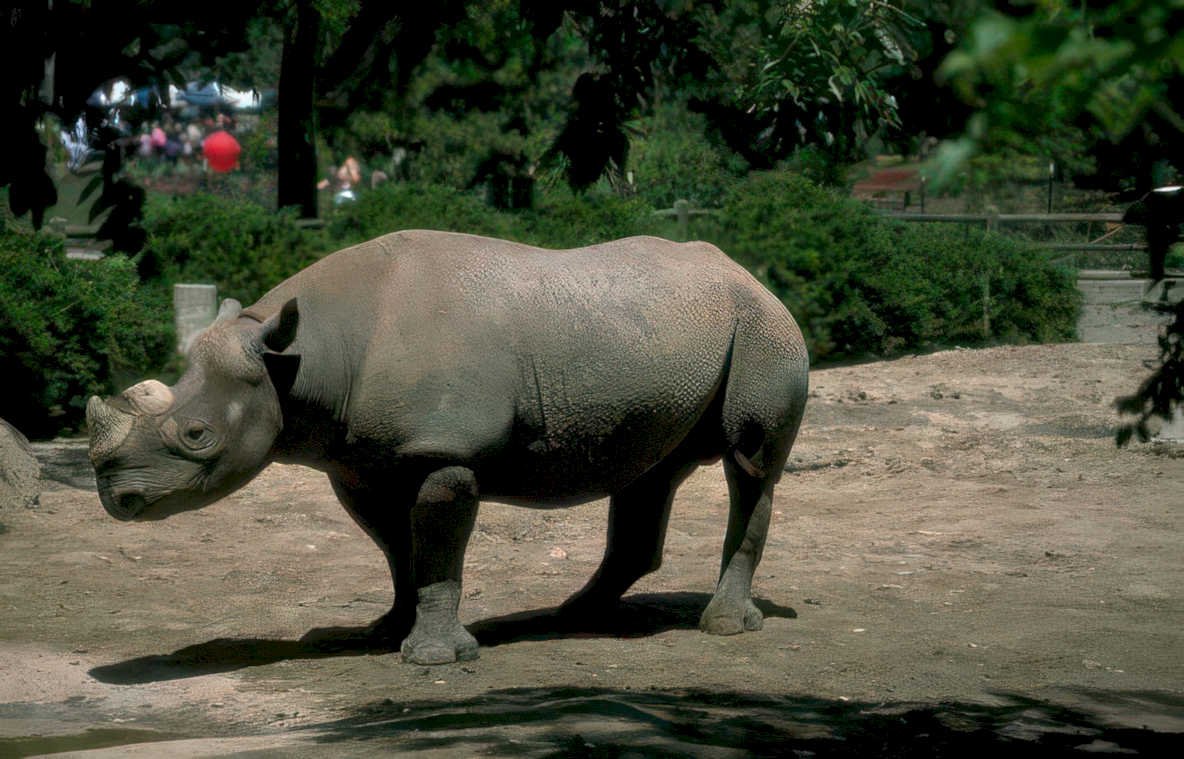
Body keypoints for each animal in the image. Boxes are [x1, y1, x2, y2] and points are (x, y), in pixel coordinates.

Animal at [87, 231, 808, 665]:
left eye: (197, 437)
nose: (115, 497)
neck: (298, 359)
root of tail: (749, 272)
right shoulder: (364, 463)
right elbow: (398, 551)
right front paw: (383, 631)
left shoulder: (444, 451)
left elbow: (436, 551)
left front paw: (432, 657)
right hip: (670, 341)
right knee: (650, 468)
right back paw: (578, 614)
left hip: (763, 329)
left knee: (750, 464)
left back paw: (723, 624)